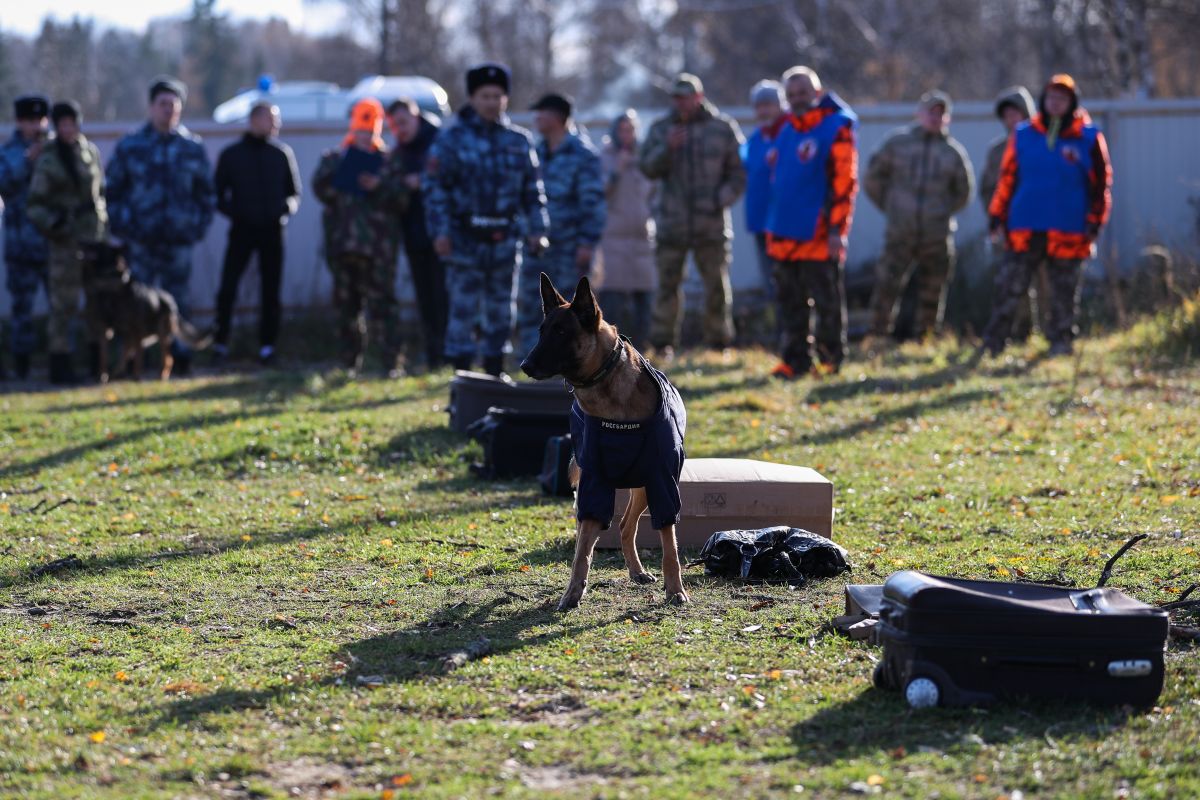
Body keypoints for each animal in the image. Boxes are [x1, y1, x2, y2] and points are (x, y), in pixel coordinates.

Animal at [79, 239, 212, 383]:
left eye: (99, 245)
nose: (80, 242)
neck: (111, 288)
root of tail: (170, 299)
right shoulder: (106, 330)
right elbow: (104, 356)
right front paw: (103, 376)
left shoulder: (136, 330)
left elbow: (138, 357)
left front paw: (137, 377)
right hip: (134, 336)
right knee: (126, 354)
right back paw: (117, 373)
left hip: (161, 333)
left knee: (167, 359)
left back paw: (161, 376)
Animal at [520, 275, 691, 614]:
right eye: (542, 331)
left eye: (562, 332)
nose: (524, 365)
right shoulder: (594, 482)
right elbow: (583, 550)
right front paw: (573, 592)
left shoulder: (663, 481)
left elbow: (670, 546)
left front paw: (675, 589)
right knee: (598, 529)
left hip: (643, 488)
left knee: (626, 526)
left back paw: (638, 572)